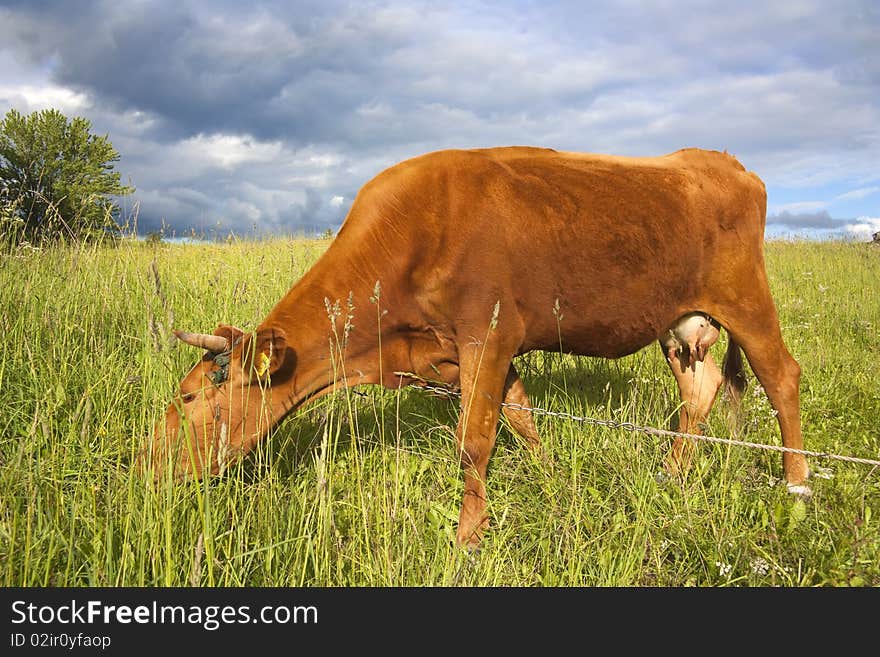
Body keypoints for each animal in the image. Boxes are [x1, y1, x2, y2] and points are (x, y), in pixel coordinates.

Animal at [144, 146, 812, 544]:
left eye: (190, 397)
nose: (147, 469)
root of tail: (722, 161)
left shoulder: (487, 333)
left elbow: (474, 441)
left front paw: (469, 537)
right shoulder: (461, 351)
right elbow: (519, 417)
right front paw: (550, 481)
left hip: (746, 299)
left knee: (782, 376)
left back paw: (797, 485)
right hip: (681, 321)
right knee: (699, 389)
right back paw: (673, 475)